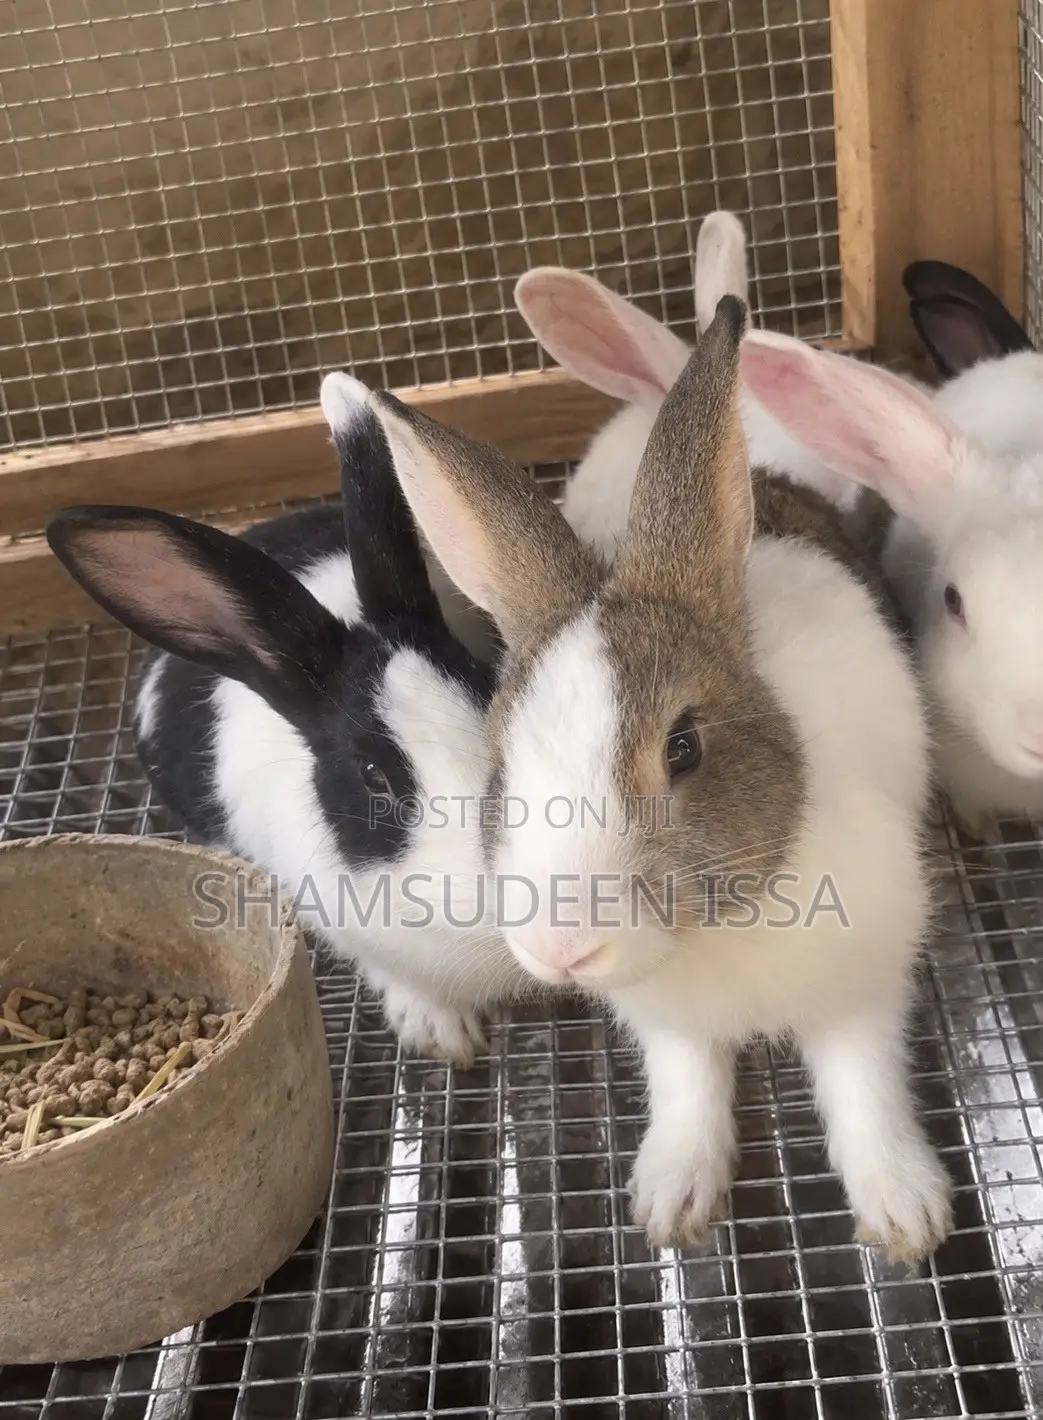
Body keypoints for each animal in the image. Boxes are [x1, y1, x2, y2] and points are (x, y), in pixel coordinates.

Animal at [333, 296, 953, 1263]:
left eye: (683, 749)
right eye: (500, 763)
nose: (558, 948)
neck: (715, 934)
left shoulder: (864, 985)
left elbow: (864, 1088)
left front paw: (904, 1215)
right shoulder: (669, 1029)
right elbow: (689, 1089)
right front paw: (671, 1201)